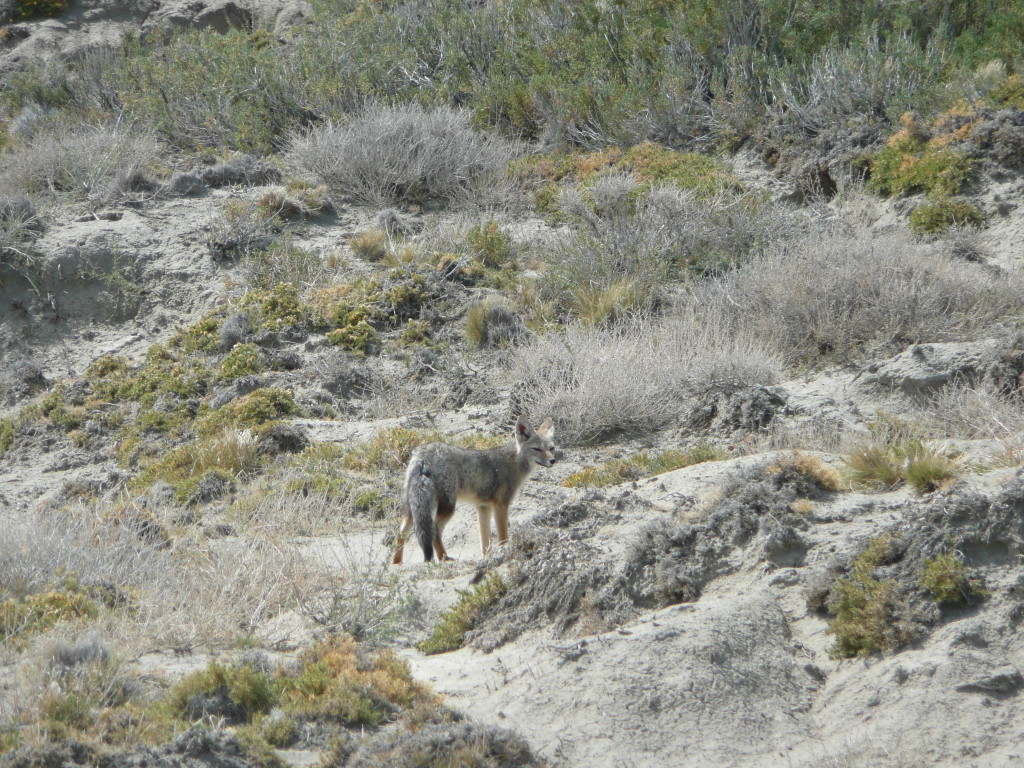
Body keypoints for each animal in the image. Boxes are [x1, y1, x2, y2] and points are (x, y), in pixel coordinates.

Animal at [391, 416, 556, 564]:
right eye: (536, 449)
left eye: (551, 448)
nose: (553, 460)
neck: (514, 461)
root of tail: (423, 452)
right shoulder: (501, 506)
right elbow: (503, 538)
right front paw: (505, 552)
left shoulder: (483, 507)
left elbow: (485, 542)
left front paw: (487, 559)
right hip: (449, 507)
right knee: (434, 531)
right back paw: (444, 558)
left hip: (412, 510)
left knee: (400, 534)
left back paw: (396, 562)